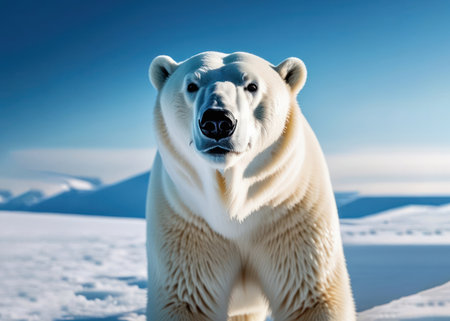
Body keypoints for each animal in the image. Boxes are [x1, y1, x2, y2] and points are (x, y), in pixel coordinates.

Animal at [146, 51, 354, 318]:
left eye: (252, 86)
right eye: (191, 85)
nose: (217, 121)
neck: (234, 206)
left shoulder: (292, 216)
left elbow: (309, 298)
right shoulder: (186, 223)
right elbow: (188, 298)